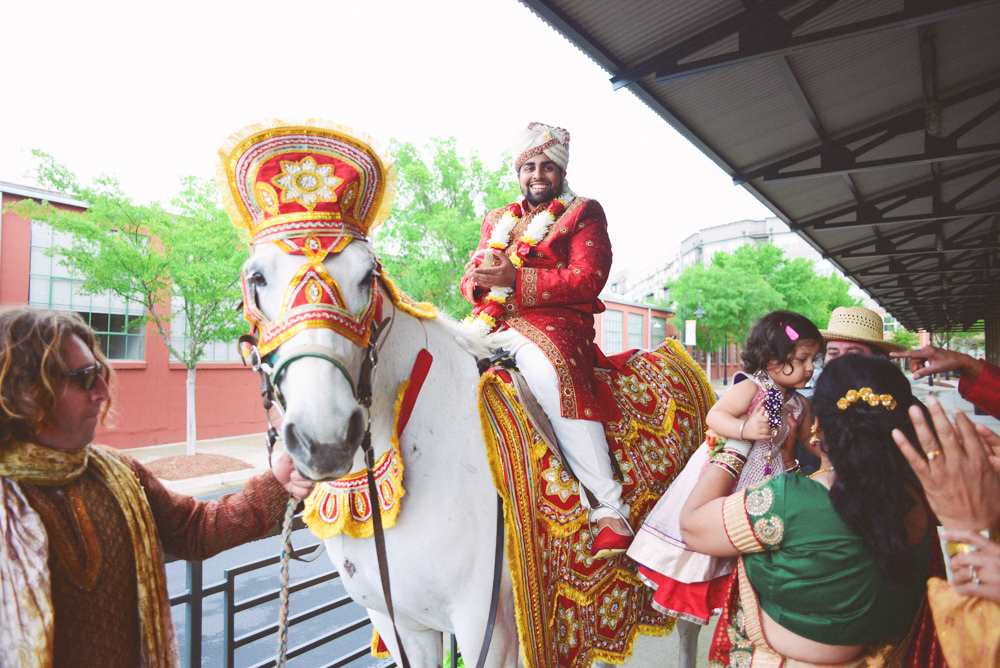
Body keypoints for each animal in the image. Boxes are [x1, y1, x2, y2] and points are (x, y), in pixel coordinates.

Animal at [243, 239, 704, 664]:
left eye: (366, 277)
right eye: (257, 278)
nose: (324, 437)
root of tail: (678, 353)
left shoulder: (490, 627)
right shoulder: (400, 623)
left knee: (687, 629)